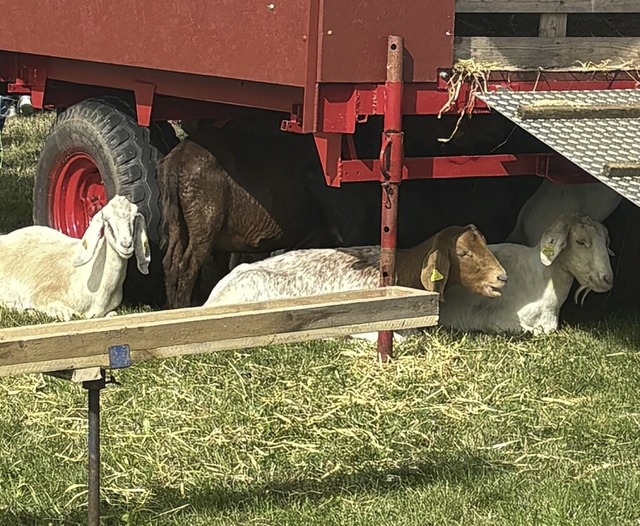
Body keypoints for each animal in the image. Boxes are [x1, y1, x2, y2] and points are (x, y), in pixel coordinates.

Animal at [0, 196, 151, 322]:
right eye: (107, 222)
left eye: (134, 219)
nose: (126, 245)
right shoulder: (42, 296)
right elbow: (71, 315)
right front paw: (30, 311)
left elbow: (113, 314)